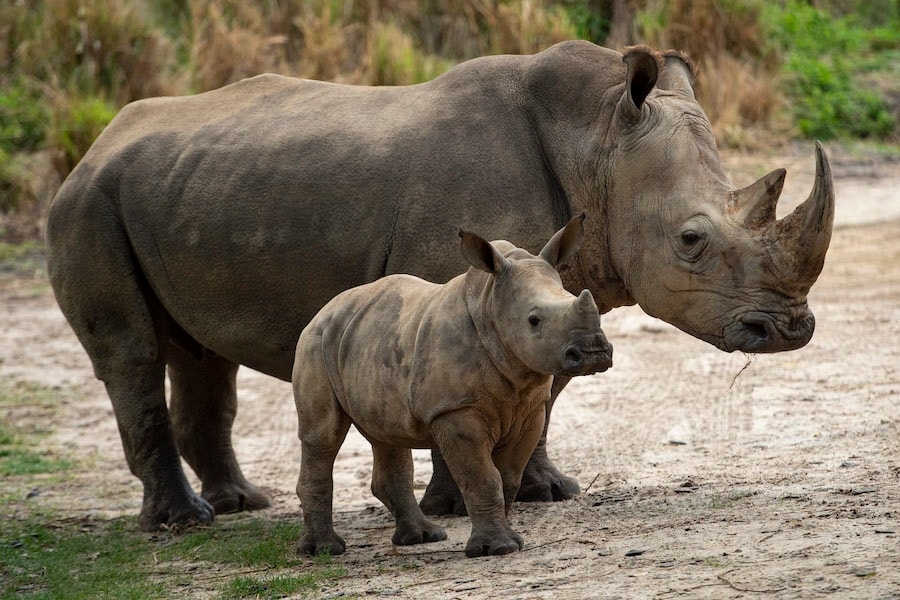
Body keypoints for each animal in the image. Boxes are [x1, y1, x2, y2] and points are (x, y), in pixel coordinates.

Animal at [294, 216, 612, 557]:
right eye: (534, 320)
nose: (593, 350)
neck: (491, 305)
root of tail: (325, 310)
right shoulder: (455, 409)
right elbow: (483, 478)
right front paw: (497, 548)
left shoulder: (531, 409)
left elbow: (508, 478)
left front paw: (509, 540)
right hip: (315, 344)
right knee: (322, 438)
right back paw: (324, 550)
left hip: (368, 342)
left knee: (386, 434)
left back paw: (423, 537)